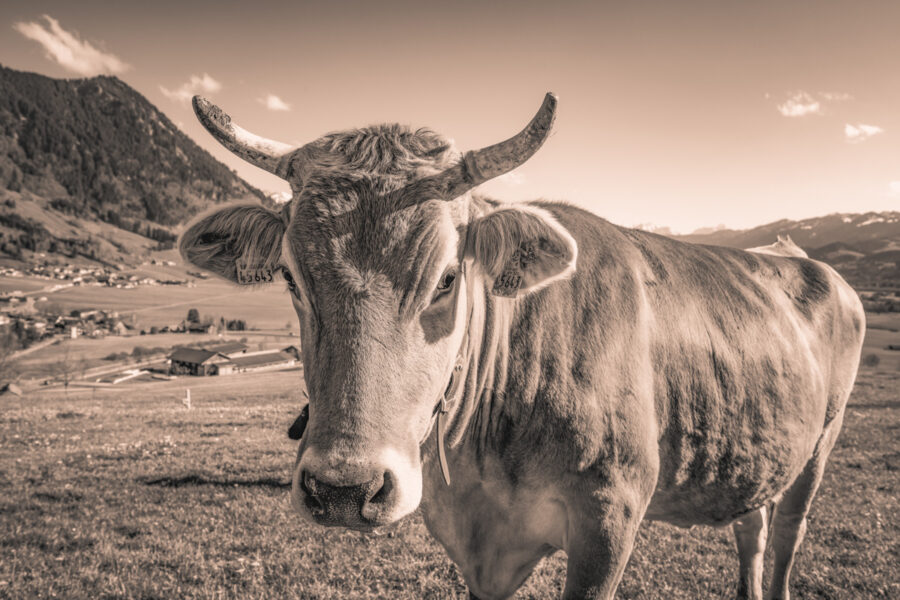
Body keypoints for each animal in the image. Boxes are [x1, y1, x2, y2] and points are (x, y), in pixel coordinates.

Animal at [178, 94, 864, 600]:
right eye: (291, 278)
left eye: (447, 278)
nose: (344, 489)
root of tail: (795, 256)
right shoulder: (472, 541)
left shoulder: (609, 520)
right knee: (751, 525)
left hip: (821, 445)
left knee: (786, 536)